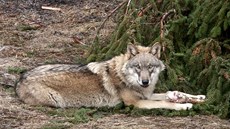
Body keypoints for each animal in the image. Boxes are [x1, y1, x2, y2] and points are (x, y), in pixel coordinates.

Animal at [15, 43, 205, 110]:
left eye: (150, 67)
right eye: (138, 67)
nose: (145, 82)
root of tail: (20, 78)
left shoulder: (146, 95)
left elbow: (169, 93)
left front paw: (197, 97)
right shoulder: (136, 102)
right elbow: (166, 103)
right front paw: (184, 105)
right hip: (56, 101)